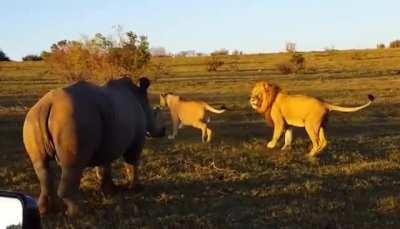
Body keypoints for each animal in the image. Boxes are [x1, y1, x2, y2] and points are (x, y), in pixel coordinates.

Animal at [21, 77, 165, 216]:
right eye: (155, 113)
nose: (163, 131)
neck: (140, 99)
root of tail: (48, 104)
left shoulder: (106, 142)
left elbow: (104, 166)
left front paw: (110, 192)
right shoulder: (136, 140)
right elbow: (132, 163)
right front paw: (136, 189)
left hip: (33, 119)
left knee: (41, 166)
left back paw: (44, 211)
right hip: (73, 120)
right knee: (72, 166)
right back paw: (78, 213)